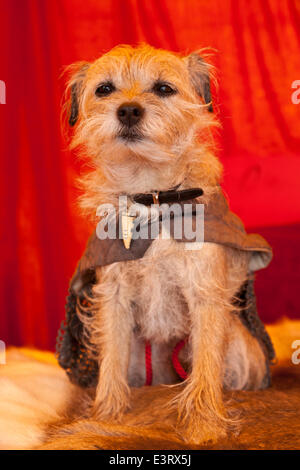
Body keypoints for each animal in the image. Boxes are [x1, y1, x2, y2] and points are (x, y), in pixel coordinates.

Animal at [58, 44, 274, 444]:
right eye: (105, 89)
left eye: (163, 89)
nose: (128, 110)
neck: (152, 198)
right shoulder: (113, 297)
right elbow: (111, 363)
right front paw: (106, 417)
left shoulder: (205, 293)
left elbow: (205, 367)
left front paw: (205, 426)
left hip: (239, 352)